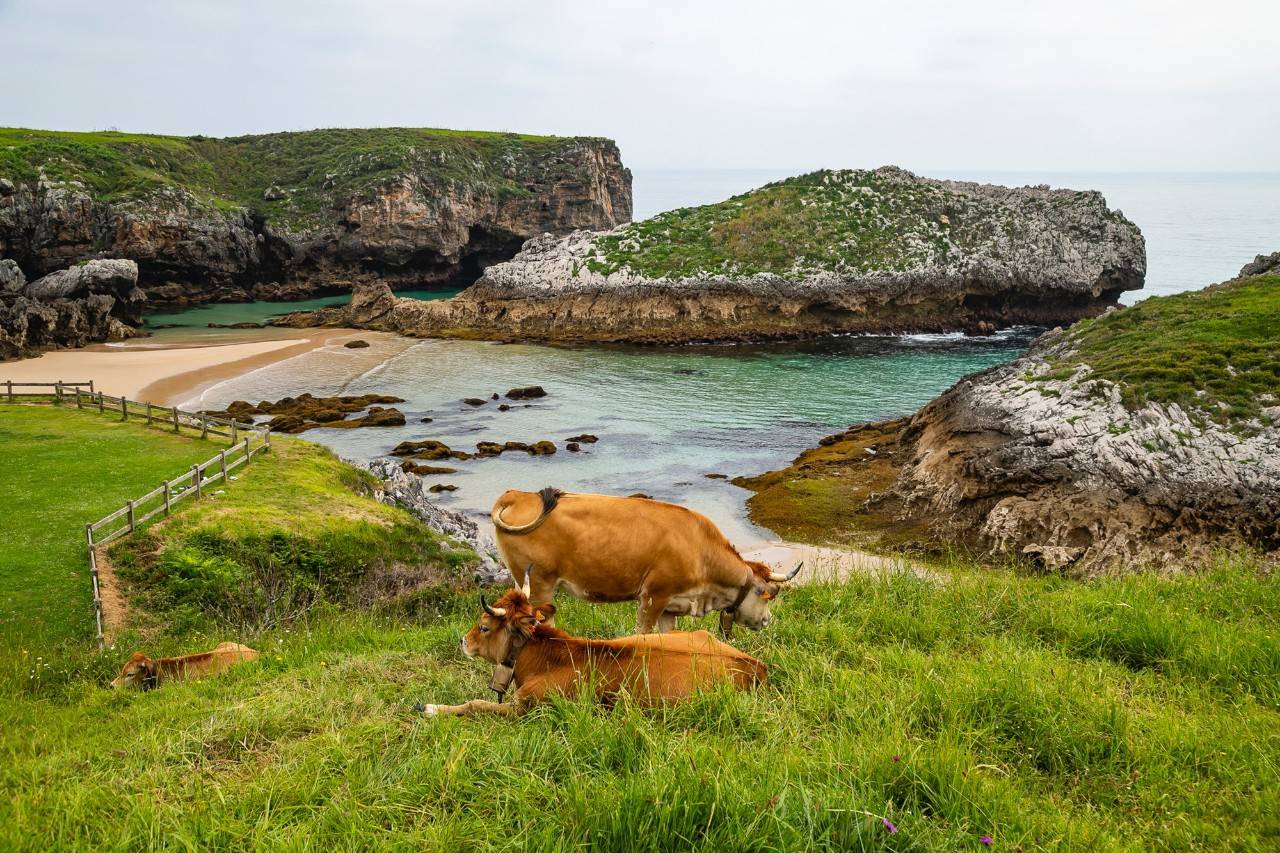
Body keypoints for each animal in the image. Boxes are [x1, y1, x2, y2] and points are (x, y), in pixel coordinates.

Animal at [414, 581, 762, 712]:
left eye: (484, 626)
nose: (463, 640)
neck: (543, 658)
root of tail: (755, 665)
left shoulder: (529, 708)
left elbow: (475, 705)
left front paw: (430, 708)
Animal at [491, 484, 798, 630]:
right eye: (768, 594)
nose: (767, 621)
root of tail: (518, 494)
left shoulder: (672, 606)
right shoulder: (654, 596)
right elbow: (641, 634)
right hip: (540, 583)